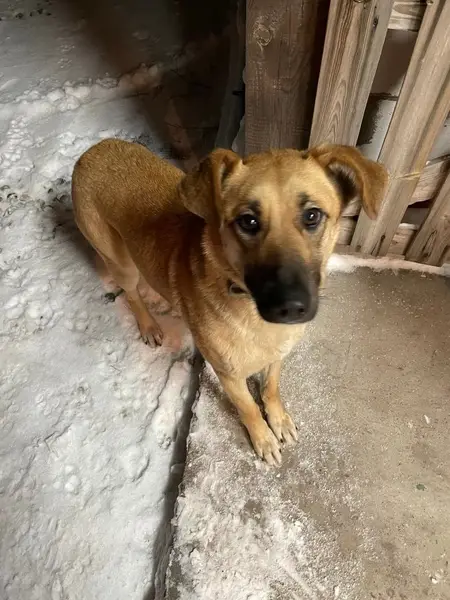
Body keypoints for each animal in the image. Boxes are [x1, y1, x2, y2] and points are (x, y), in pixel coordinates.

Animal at [72, 139, 387, 465]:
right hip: (121, 263)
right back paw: (148, 325)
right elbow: (248, 408)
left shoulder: (277, 356)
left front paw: (278, 419)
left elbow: (271, 388)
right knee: (132, 295)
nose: (290, 307)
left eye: (312, 215)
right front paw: (263, 438)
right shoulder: (229, 375)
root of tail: (95, 148)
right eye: (248, 221)